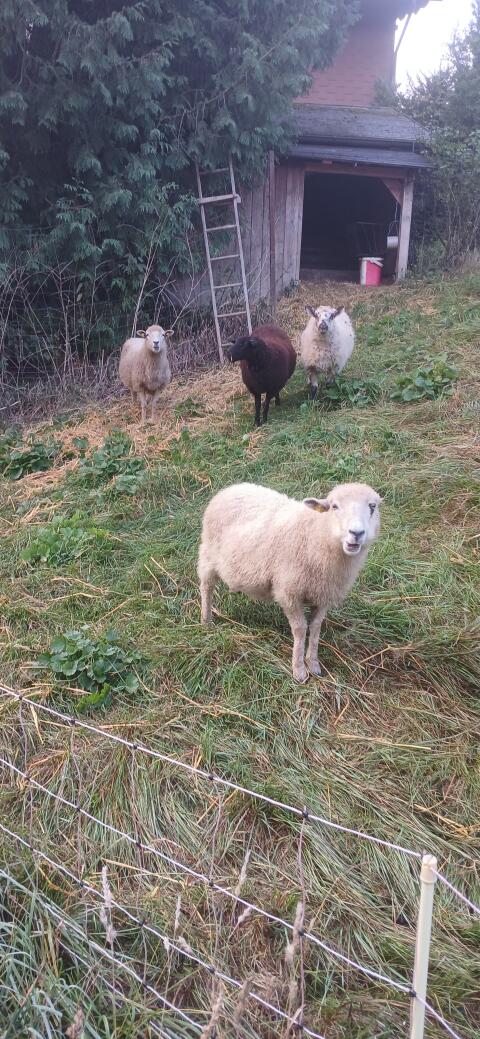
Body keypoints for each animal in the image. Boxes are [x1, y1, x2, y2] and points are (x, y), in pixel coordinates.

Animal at [198, 480, 381, 683]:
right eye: (334, 506)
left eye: (372, 507)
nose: (356, 533)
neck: (316, 535)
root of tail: (231, 488)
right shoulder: (289, 593)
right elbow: (301, 629)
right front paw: (299, 670)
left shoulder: (323, 595)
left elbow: (315, 627)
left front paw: (313, 664)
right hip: (208, 554)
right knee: (206, 587)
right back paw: (206, 620)